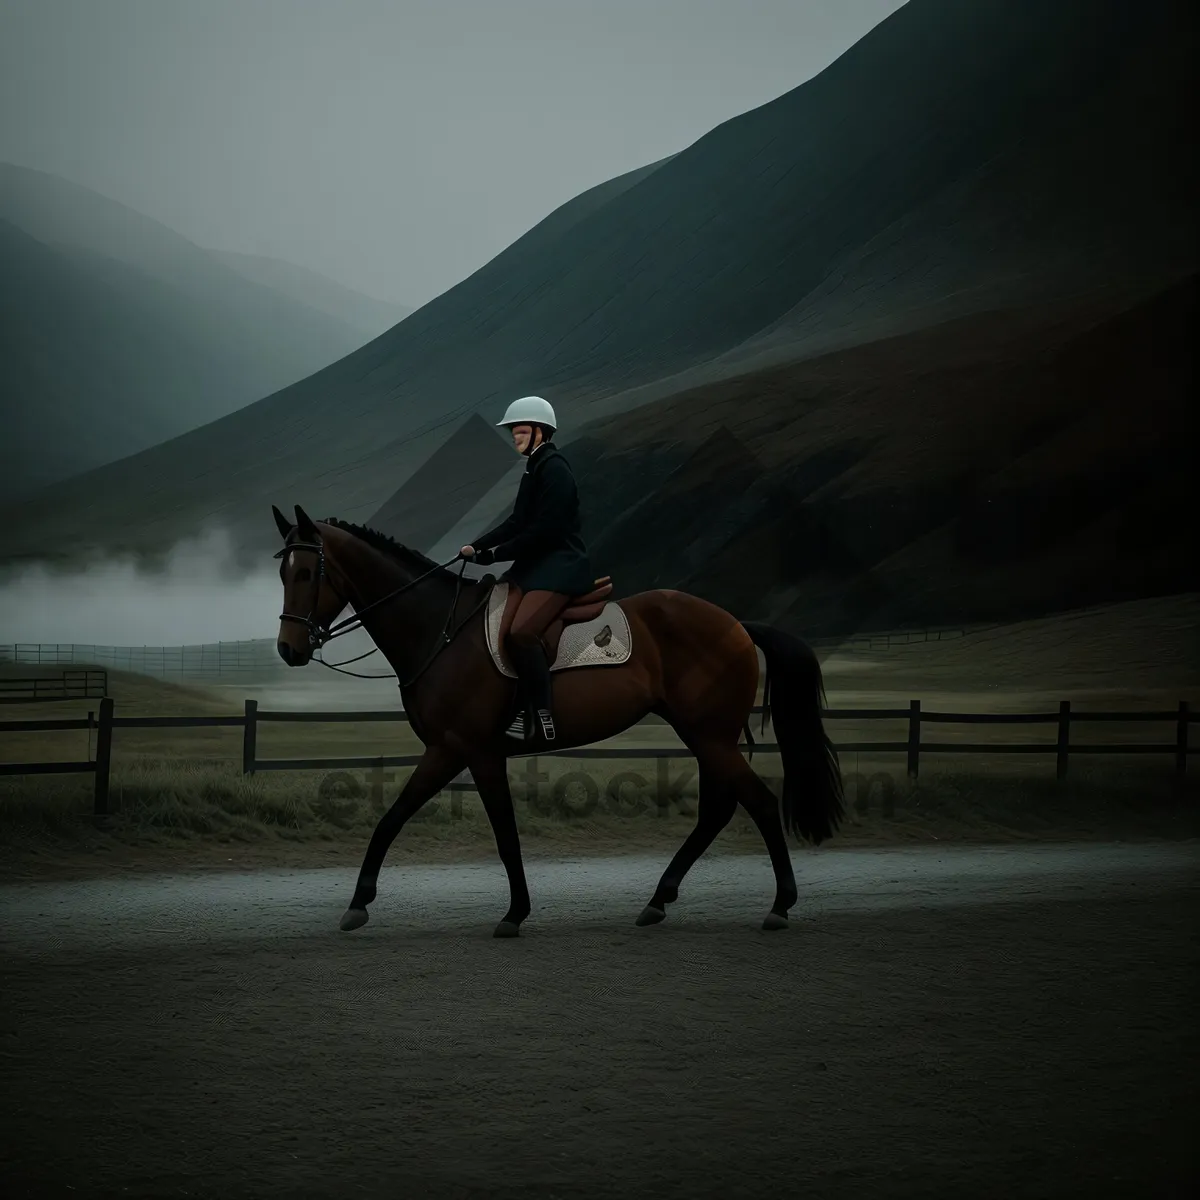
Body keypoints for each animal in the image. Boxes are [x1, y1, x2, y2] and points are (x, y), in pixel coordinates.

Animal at [270, 501, 844, 931]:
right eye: (280, 572)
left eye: (308, 571)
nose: (289, 650)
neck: (439, 629)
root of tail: (738, 625)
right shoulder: (453, 750)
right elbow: (398, 818)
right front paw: (359, 902)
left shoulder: (464, 748)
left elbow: (491, 829)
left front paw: (513, 913)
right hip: (704, 736)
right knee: (718, 811)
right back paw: (659, 900)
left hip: (712, 736)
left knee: (760, 804)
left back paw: (779, 906)